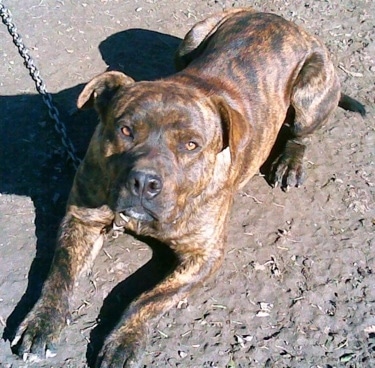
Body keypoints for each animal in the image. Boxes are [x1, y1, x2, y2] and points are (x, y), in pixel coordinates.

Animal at [12, 7, 368, 366]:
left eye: (191, 145)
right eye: (125, 130)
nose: (144, 181)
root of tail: (285, 22)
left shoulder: (204, 255)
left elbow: (148, 299)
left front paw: (124, 340)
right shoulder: (82, 219)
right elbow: (60, 273)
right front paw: (42, 322)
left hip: (309, 96)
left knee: (299, 133)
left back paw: (289, 162)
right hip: (192, 37)